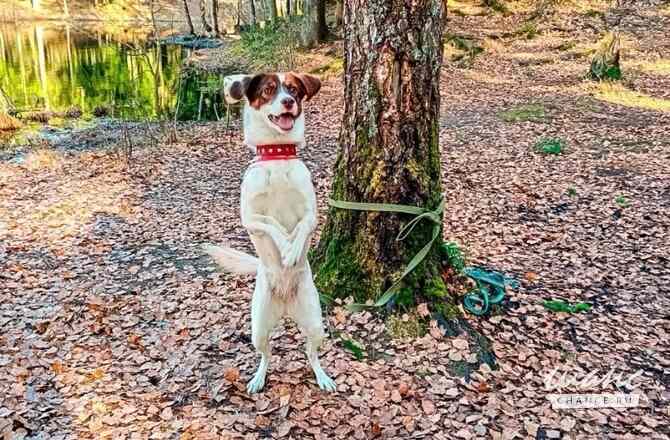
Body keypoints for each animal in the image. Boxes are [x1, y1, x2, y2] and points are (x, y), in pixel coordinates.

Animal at [206, 73, 336, 396]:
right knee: (266, 355)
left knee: (311, 353)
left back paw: (322, 377)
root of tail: (286, 305)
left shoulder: (312, 214)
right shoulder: (250, 218)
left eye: (293, 89)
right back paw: (258, 378)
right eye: (268, 90)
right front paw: (286, 248)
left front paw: (293, 250)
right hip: (258, 328)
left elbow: (300, 226)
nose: (288, 102)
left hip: (315, 323)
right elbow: (271, 223)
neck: (277, 157)